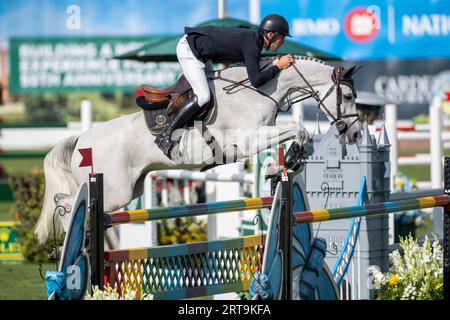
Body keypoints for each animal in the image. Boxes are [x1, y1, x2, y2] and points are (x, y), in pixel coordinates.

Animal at [35, 56, 362, 244]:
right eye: (347, 96)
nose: (356, 133)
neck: (260, 90)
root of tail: (80, 140)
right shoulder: (244, 141)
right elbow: (299, 129)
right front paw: (284, 161)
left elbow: (297, 133)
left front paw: (284, 164)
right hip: (114, 190)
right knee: (65, 201)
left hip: (129, 189)